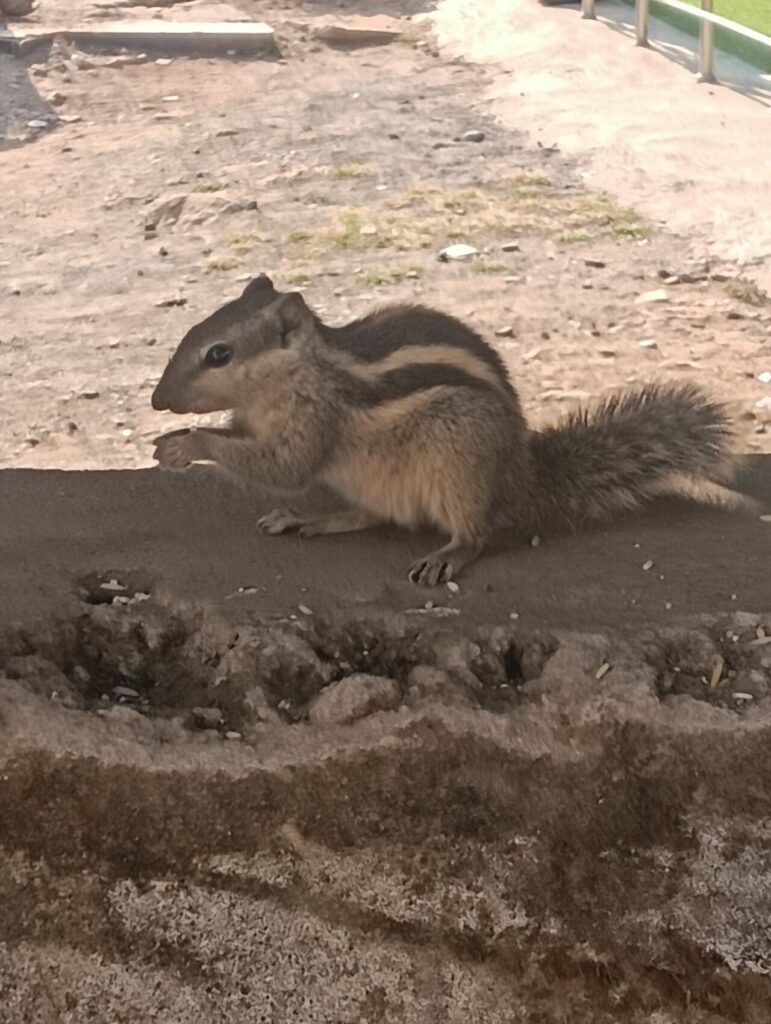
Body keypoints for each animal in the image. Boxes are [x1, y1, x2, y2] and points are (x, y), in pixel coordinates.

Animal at [151, 274, 755, 586]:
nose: (158, 402)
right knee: (372, 514)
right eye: (192, 330)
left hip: (458, 460)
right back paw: (311, 518)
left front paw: (187, 443)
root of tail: (522, 478)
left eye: (219, 354)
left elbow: (285, 466)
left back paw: (449, 553)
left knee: (476, 532)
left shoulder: (314, 419)